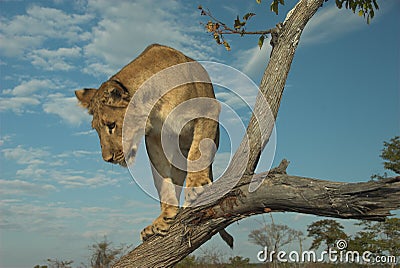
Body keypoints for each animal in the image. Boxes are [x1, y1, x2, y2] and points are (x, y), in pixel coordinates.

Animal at [75, 44, 233, 247]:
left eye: (111, 125)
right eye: (96, 129)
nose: (107, 159)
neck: (153, 106)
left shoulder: (207, 109)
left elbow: (197, 152)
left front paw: (196, 186)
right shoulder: (155, 140)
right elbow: (163, 182)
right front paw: (164, 218)